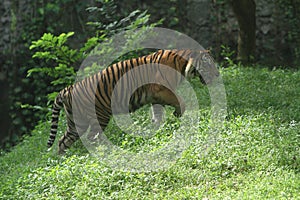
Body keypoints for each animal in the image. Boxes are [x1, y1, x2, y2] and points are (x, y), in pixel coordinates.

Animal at [48, 49, 219, 154]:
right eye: (209, 64)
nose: (218, 75)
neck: (182, 65)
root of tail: (68, 89)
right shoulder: (162, 90)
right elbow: (180, 102)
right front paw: (177, 115)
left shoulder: (156, 97)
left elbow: (157, 115)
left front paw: (156, 129)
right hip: (99, 116)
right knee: (92, 138)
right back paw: (104, 151)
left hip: (77, 123)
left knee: (63, 140)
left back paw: (62, 160)